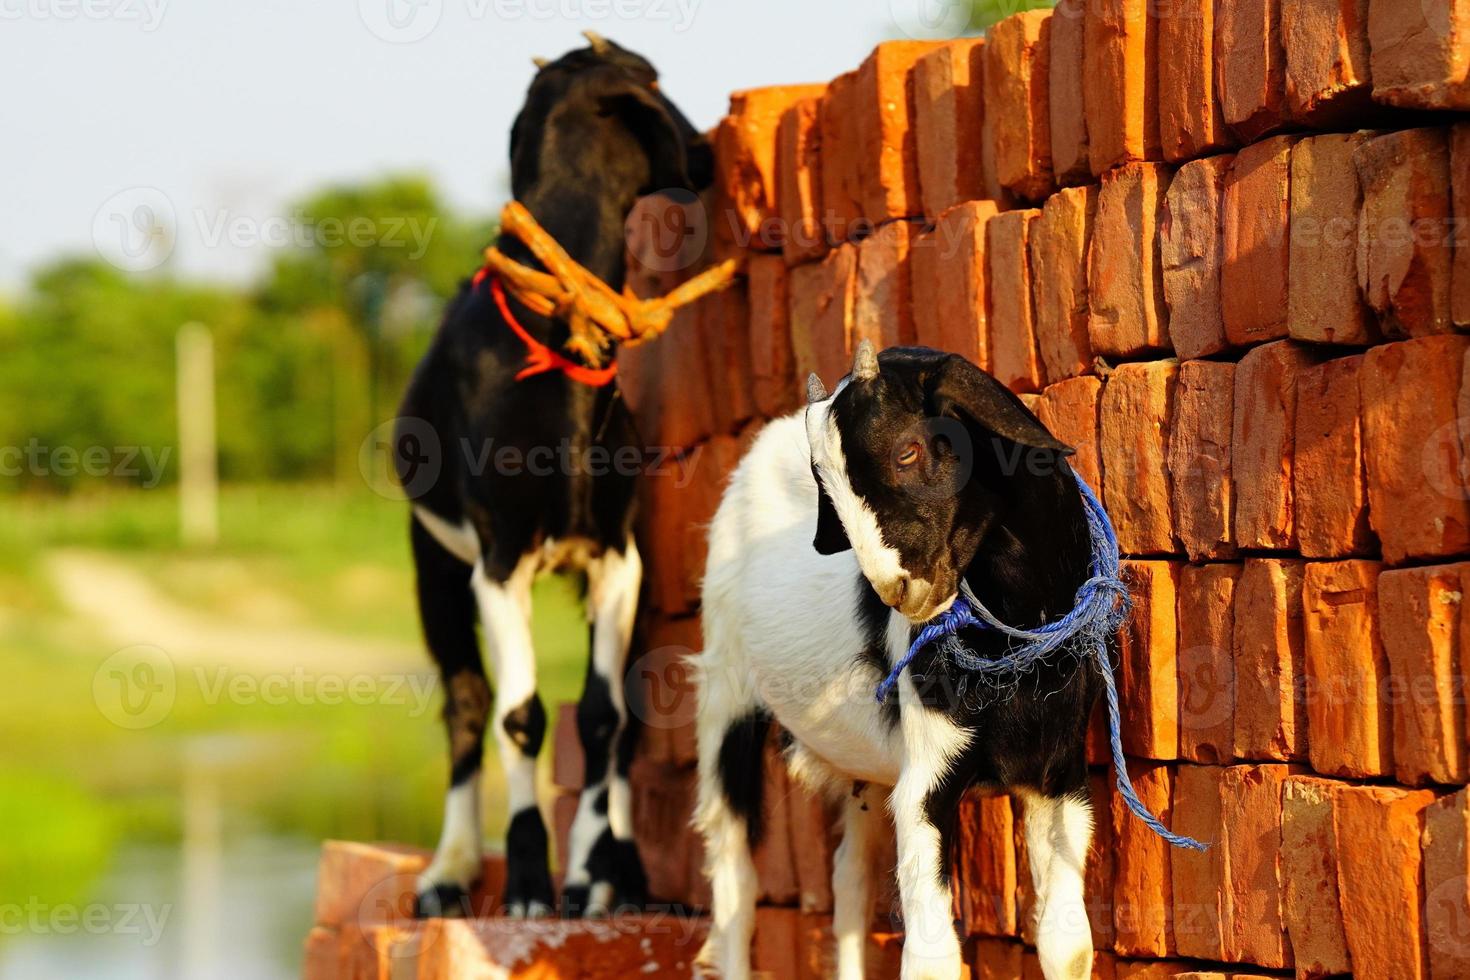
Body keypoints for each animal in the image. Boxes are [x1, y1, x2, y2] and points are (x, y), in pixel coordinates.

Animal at [699, 345, 1105, 980]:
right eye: (826, 488)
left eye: (908, 450)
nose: (898, 589)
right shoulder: (926, 781)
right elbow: (932, 957)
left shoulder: (1059, 775)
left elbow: (1069, 946)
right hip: (725, 692)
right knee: (733, 879)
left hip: (865, 770)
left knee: (848, 882)